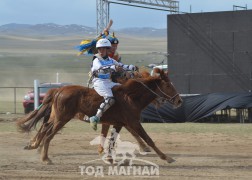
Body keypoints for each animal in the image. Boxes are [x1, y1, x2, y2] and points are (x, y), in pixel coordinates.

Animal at [16, 69, 182, 165]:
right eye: (168, 85)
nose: (179, 101)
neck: (130, 97)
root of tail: (59, 90)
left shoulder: (118, 123)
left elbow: (111, 140)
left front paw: (109, 157)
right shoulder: (133, 122)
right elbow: (148, 139)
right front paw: (167, 157)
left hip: (55, 117)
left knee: (44, 129)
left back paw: (34, 146)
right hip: (61, 119)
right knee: (48, 134)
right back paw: (45, 157)